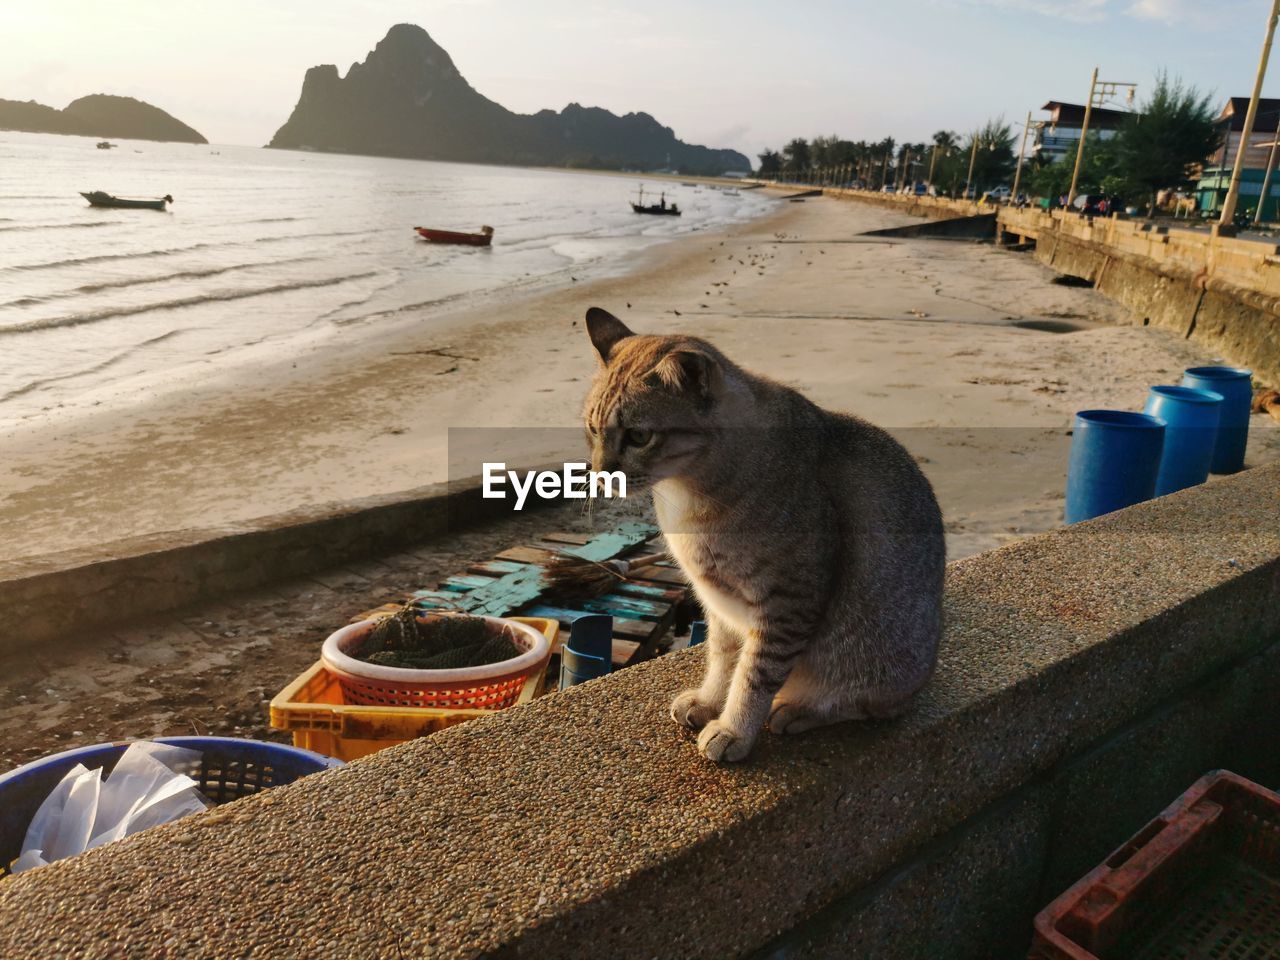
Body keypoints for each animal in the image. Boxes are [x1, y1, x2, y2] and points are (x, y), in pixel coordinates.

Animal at [586, 308, 947, 768]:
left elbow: (753, 677)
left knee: (868, 704)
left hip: (876, 658)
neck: (686, 497)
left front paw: (733, 729)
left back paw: (798, 710)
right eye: (592, 429)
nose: (600, 474)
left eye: (638, 436)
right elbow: (722, 660)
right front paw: (709, 701)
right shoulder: (717, 603)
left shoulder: (786, 604)